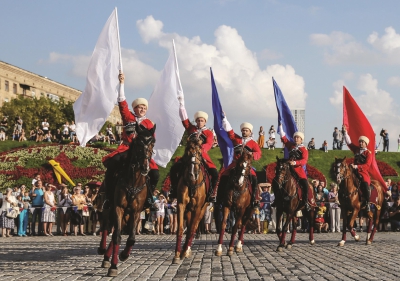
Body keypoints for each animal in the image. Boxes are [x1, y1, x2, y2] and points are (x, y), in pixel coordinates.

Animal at [97, 123, 155, 276]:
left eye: (152, 142)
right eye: (139, 143)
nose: (145, 167)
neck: (134, 181)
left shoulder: (136, 211)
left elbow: (131, 238)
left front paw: (123, 255)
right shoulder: (119, 208)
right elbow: (116, 235)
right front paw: (114, 266)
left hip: (126, 215)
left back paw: (107, 257)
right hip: (109, 208)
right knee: (106, 228)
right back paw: (103, 250)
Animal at [172, 133, 209, 262]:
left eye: (199, 152)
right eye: (188, 151)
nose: (192, 174)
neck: (192, 183)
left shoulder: (198, 208)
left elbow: (193, 227)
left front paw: (184, 251)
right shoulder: (181, 204)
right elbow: (180, 228)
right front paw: (177, 254)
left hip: (202, 208)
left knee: (194, 226)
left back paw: (187, 249)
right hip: (189, 209)